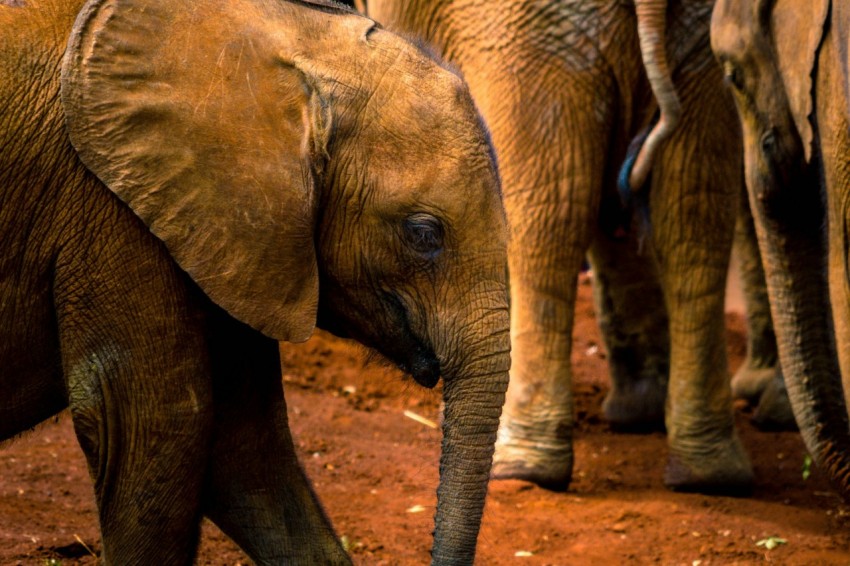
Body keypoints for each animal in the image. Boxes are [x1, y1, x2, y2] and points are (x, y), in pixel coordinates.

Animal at [358, 0, 754, 492]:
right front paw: (637, 413)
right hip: (692, 42)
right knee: (694, 210)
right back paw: (709, 474)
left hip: (527, 40)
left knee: (549, 215)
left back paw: (523, 464)